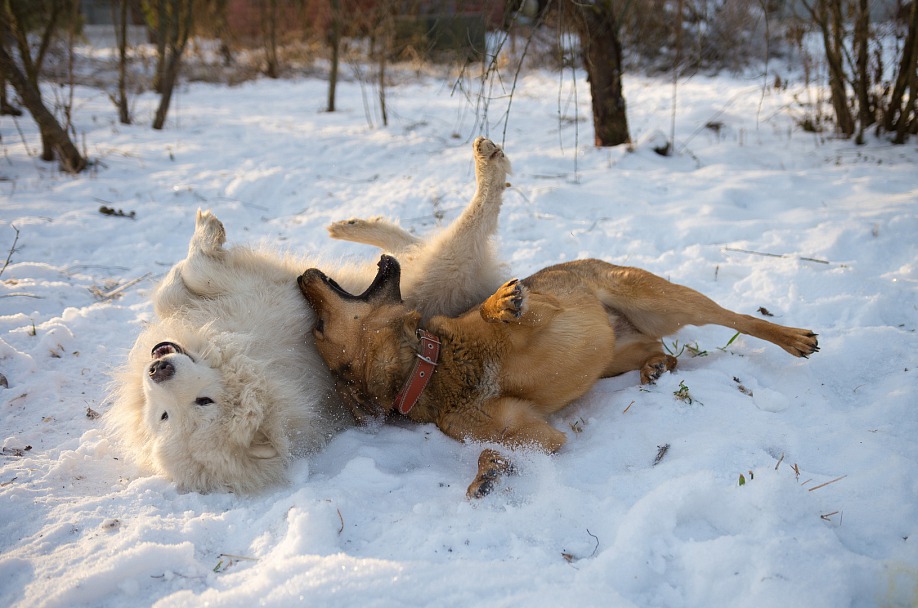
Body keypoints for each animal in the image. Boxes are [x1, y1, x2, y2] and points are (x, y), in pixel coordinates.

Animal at [104, 138, 512, 494]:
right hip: (438, 267)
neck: (250, 360)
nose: (158, 369)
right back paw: (487, 163)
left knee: (413, 242)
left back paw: (353, 224)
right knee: (458, 230)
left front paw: (206, 232)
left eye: (202, 402)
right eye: (167, 416)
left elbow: (182, 279)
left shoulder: (242, 295)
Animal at [296, 254, 820, 496]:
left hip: (658, 298)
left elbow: (503, 310)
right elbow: (498, 447)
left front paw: (501, 302)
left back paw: (792, 337)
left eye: (317, 325)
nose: (302, 275)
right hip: (616, 354)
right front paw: (488, 472)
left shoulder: (548, 311)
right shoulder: (535, 433)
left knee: (734, 317)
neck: (434, 367)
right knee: (659, 350)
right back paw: (657, 367)